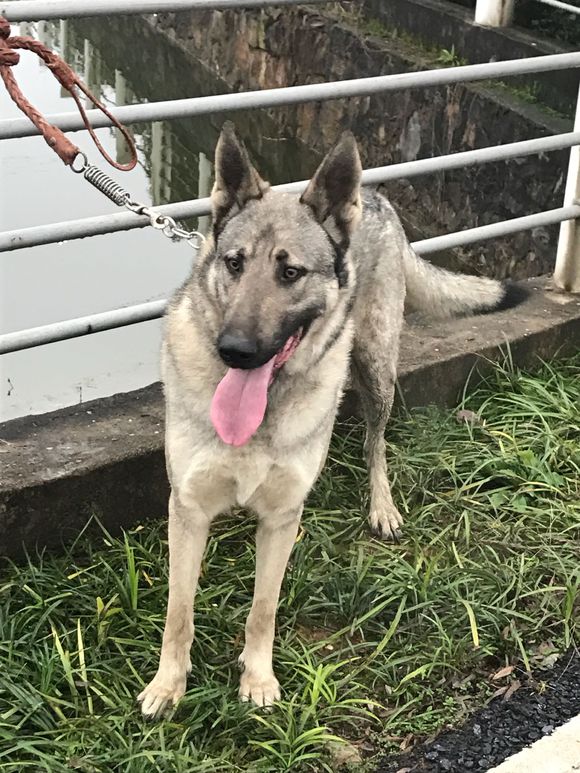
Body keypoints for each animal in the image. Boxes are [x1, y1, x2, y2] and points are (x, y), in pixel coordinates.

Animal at [138, 122, 528, 716]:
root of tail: (377, 199)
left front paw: (257, 678)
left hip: (375, 365)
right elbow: (178, 613)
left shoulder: (281, 518)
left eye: (290, 272)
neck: (263, 410)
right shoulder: (188, 511)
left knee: (375, 444)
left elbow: (263, 609)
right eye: (234, 263)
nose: (235, 351)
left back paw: (382, 505)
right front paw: (169, 685)